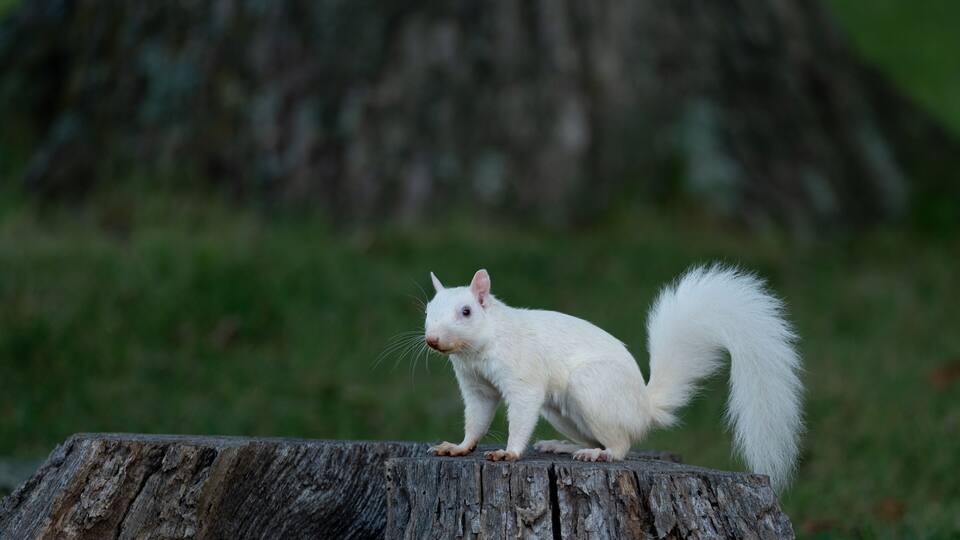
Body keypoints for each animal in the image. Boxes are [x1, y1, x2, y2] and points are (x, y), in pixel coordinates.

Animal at [423, 265, 803, 491]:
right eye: (427, 311)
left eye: (466, 312)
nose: (432, 340)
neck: (477, 350)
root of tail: (644, 409)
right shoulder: (475, 386)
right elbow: (476, 420)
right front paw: (458, 447)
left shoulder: (523, 375)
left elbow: (521, 412)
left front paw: (509, 453)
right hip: (563, 413)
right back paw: (567, 446)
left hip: (591, 387)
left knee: (620, 446)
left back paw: (599, 455)